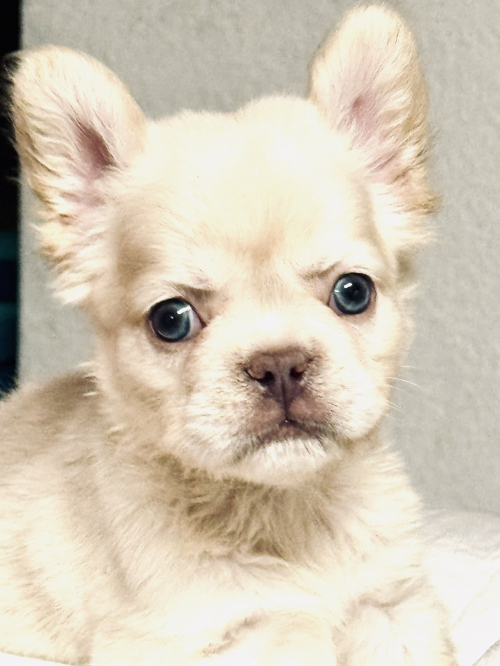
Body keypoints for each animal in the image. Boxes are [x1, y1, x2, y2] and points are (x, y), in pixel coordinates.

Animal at [0, 6, 458, 664]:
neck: (285, 514)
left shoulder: (395, 610)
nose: (281, 364)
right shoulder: (200, 640)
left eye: (353, 292)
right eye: (171, 320)